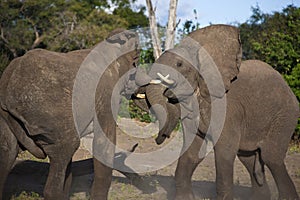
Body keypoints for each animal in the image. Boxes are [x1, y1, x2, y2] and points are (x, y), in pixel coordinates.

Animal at [0, 28, 139, 199]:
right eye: (136, 59)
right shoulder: (106, 92)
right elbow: (103, 140)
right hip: (47, 113)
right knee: (66, 147)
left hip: (6, 116)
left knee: (7, 155)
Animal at [134, 25, 300, 200]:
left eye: (179, 64)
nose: (160, 138)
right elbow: (192, 151)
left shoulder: (227, 107)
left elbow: (225, 150)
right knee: (247, 158)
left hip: (285, 115)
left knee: (271, 157)